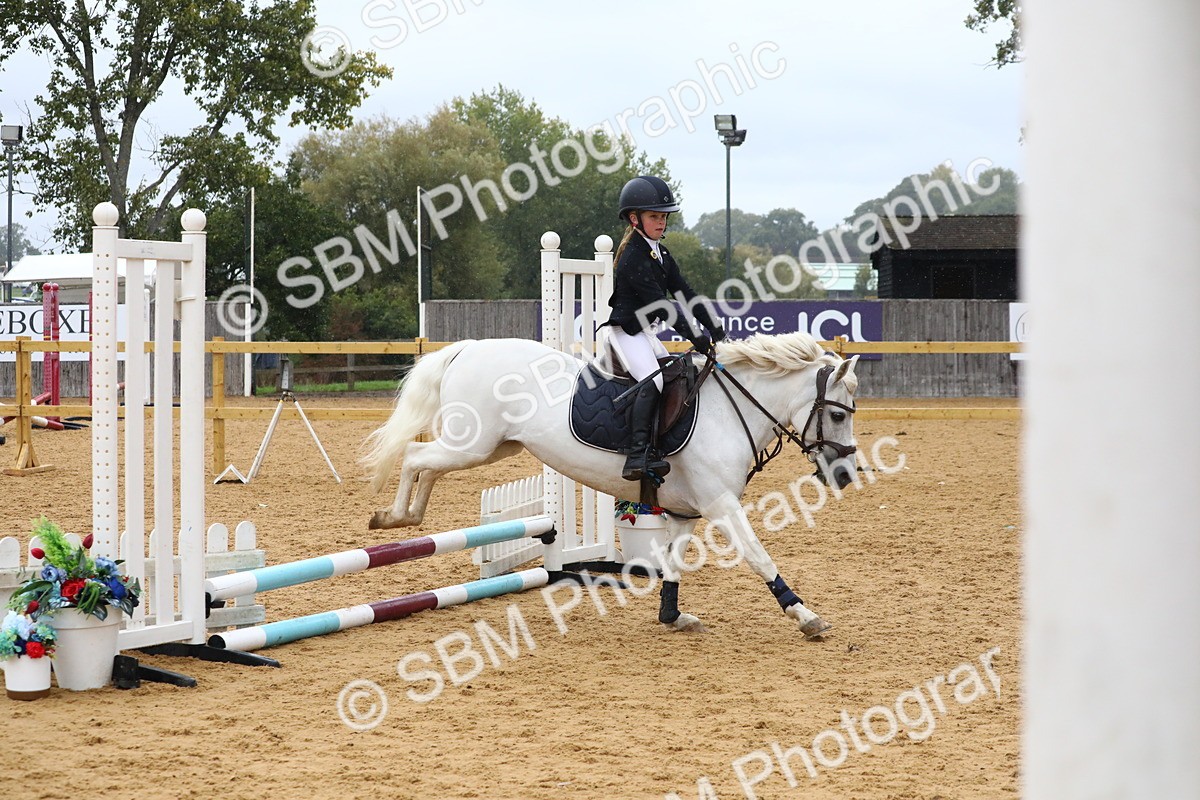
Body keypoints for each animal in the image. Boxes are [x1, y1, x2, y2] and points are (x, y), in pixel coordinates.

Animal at [361, 331, 860, 639]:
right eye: (838, 414)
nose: (844, 476)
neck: (728, 410)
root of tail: (467, 348)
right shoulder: (721, 505)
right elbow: (758, 556)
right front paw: (805, 615)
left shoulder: (686, 511)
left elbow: (674, 562)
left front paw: (672, 615)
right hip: (473, 445)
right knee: (415, 457)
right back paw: (394, 516)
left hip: (492, 447)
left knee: (429, 466)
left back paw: (407, 516)